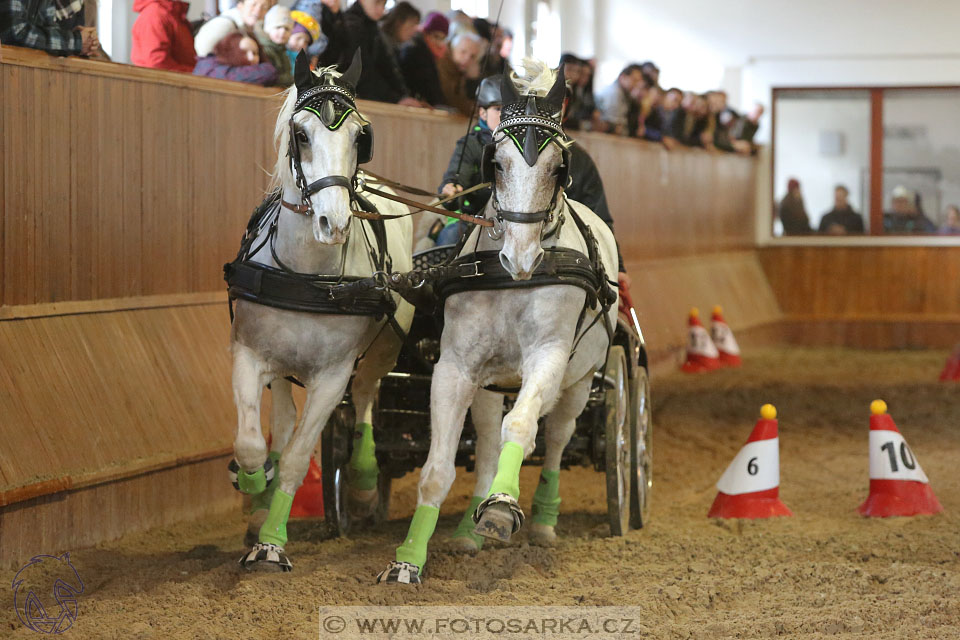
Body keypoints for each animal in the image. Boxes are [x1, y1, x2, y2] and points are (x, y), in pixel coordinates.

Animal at [231, 53, 414, 568]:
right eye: (301, 134)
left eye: (360, 136)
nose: (334, 223)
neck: (307, 276)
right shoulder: (249, 353)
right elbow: (252, 442)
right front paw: (253, 486)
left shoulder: (333, 377)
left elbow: (297, 458)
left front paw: (272, 543)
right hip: (283, 364)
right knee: (281, 421)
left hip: (381, 352)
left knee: (368, 400)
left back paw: (364, 483)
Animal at [378, 60, 620, 584]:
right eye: (498, 162)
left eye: (558, 167)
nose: (521, 257)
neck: (511, 283)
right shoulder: (455, 368)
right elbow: (438, 468)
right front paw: (408, 559)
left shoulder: (548, 358)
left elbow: (523, 427)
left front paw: (503, 507)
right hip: (491, 383)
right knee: (488, 437)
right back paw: (470, 527)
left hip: (580, 381)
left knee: (556, 438)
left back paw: (544, 521)